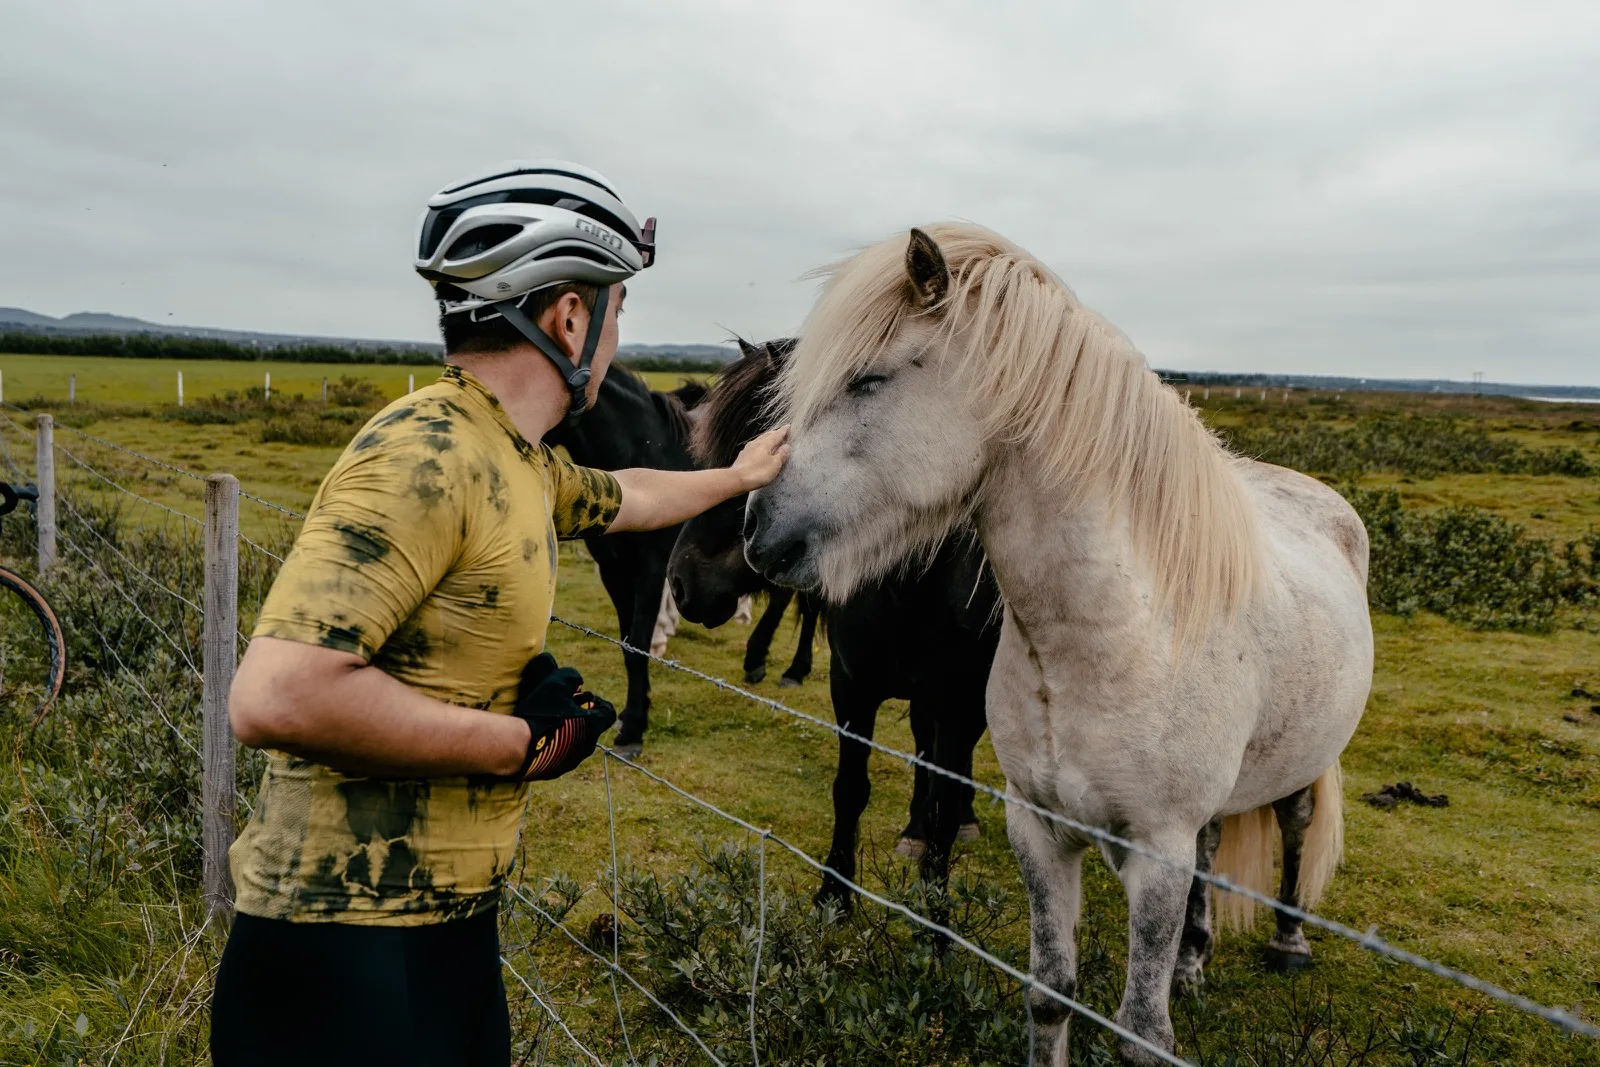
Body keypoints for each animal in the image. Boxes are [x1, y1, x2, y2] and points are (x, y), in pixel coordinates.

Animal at [546, 367, 817, 758]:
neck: (646, 450)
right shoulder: (614, 570)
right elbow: (628, 644)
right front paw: (631, 714)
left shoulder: (652, 570)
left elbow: (638, 645)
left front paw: (633, 729)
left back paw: (789, 669)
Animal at [668, 337, 1000, 905]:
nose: (681, 584)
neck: (911, 584)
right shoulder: (851, 686)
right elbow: (850, 789)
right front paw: (834, 893)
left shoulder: (961, 702)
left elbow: (944, 799)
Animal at [744, 224, 1372, 1065]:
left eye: (868, 379)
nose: (757, 526)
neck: (1104, 639)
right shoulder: (1038, 829)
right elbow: (1050, 993)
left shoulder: (1157, 853)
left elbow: (1142, 1030)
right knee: (1215, 844)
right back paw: (1194, 961)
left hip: (1303, 762)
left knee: (1298, 828)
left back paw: (1289, 940)